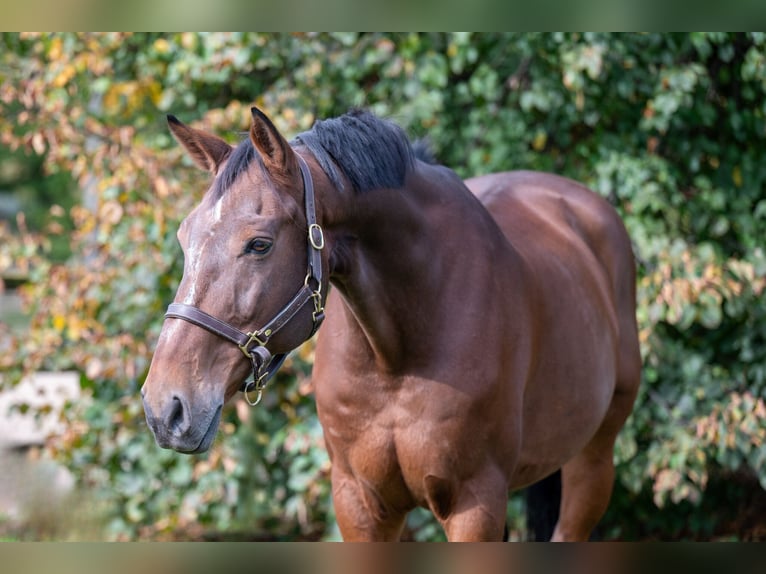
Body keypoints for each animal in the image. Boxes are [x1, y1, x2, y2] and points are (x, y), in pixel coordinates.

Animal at [140, 106, 640, 544]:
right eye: (184, 237)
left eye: (259, 244)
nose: (165, 407)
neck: (398, 357)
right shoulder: (360, 502)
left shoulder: (474, 503)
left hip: (593, 461)